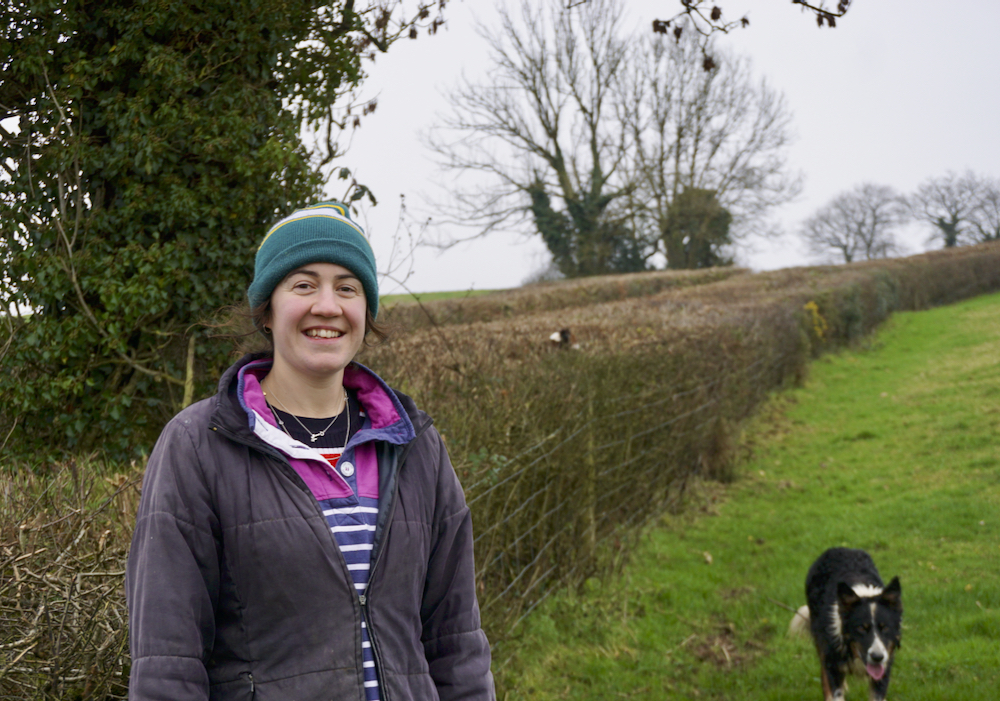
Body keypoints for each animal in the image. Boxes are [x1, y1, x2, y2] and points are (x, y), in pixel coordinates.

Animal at [796, 548, 908, 700]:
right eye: (861, 628)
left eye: (885, 627)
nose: (877, 657)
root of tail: (838, 548)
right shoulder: (832, 663)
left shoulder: (884, 669)